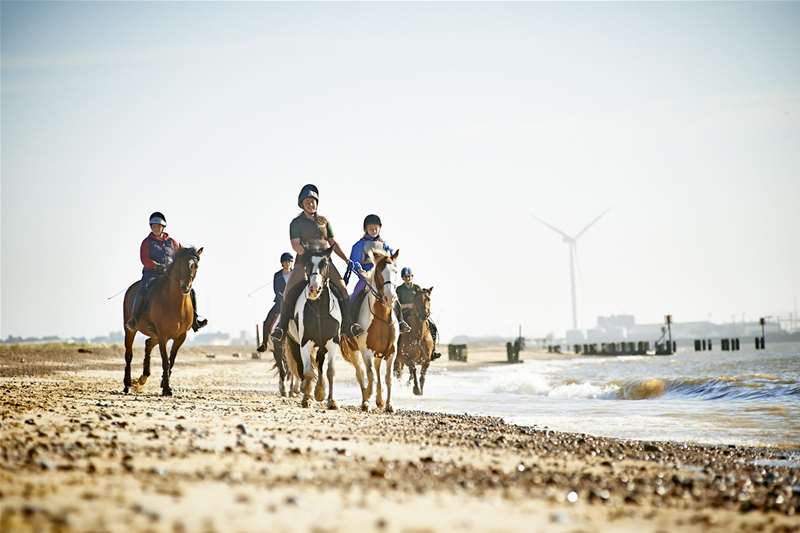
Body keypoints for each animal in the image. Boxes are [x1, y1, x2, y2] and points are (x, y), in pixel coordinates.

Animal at [122, 245, 205, 394]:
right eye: (180, 264)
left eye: (196, 265)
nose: (186, 287)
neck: (175, 303)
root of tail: (131, 289)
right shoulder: (163, 336)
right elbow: (165, 360)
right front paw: (166, 388)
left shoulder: (180, 336)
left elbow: (171, 360)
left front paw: (163, 383)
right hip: (130, 330)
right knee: (129, 355)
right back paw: (127, 385)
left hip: (155, 335)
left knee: (148, 343)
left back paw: (143, 377)